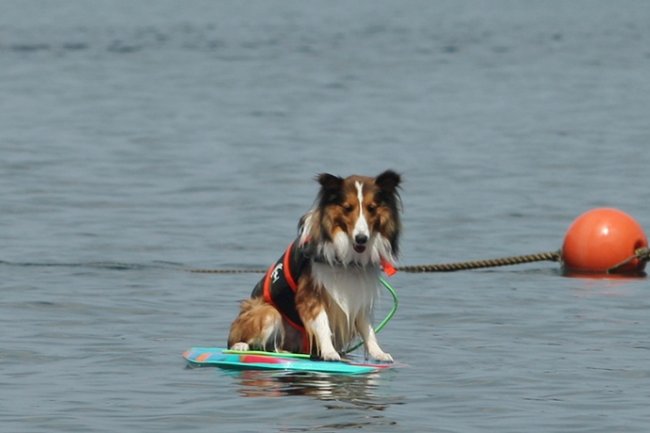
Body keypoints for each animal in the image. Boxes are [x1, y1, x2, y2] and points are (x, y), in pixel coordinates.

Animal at [228, 170, 400, 362]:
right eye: (347, 208)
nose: (361, 238)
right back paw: (240, 346)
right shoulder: (310, 294)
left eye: (372, 208)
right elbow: (323, 324)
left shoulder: (358, 293)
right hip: (267, 312)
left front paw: (379, 353)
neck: (347, 259)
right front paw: (329, 352)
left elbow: (367, 328)